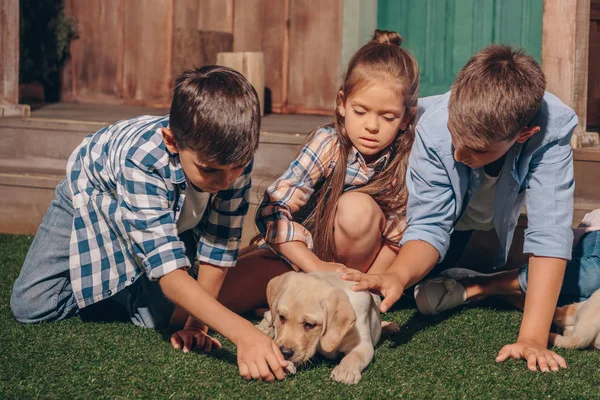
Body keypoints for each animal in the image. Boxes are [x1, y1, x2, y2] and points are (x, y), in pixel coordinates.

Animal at [256, 272, 398, 384]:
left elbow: (355, 356)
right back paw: (262, 329)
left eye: (309, 324)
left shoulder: (362, 344)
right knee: (268, 315)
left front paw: (346, 370)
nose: (284, 352)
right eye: (282, 317)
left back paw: (389, 326)